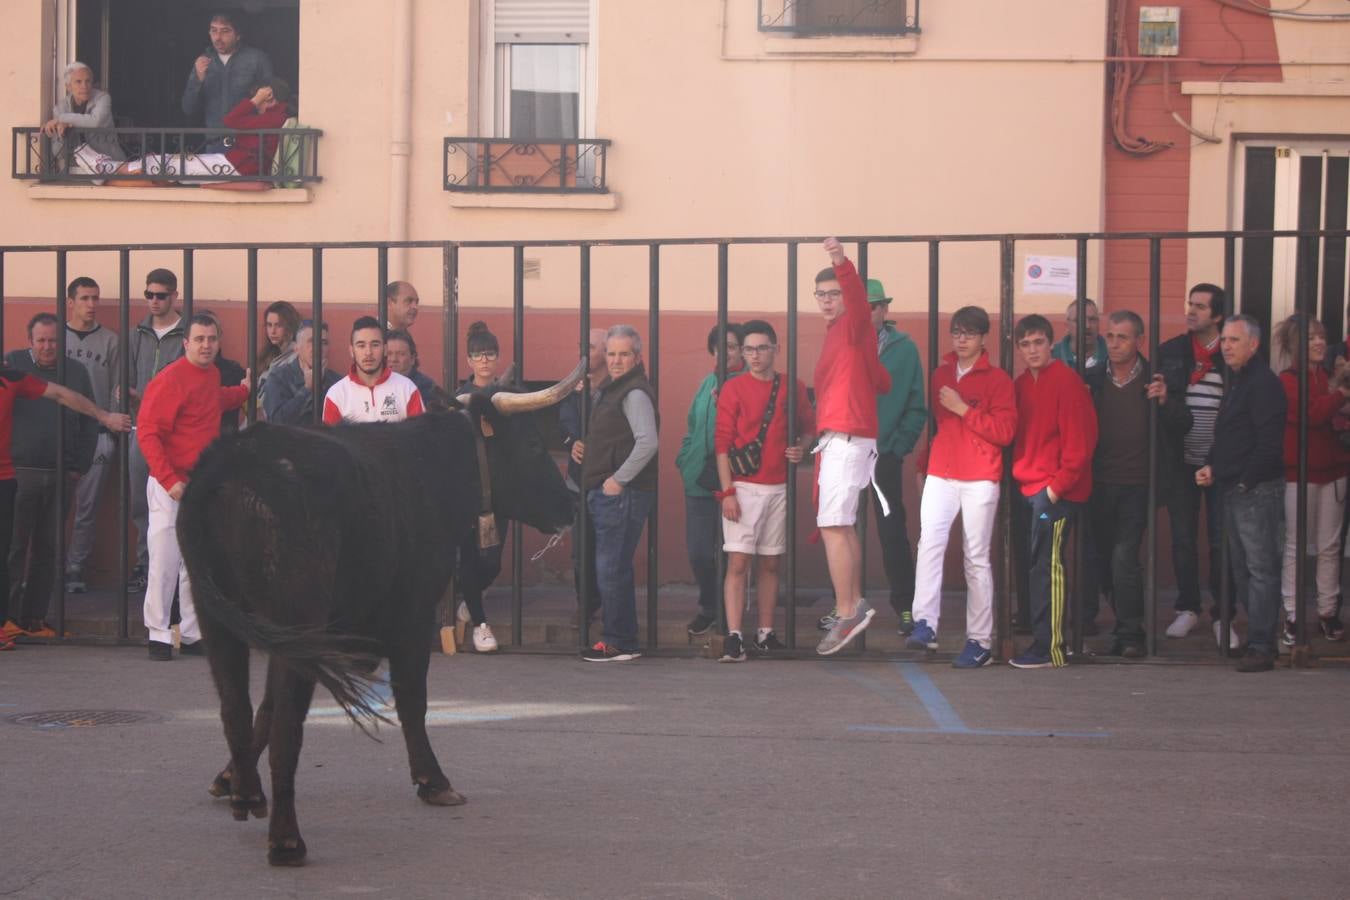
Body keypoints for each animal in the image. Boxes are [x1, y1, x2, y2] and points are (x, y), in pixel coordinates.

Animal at [178, 377, 575, 863]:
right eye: (535, 444)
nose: (570, 505)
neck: (433, 468)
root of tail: (231, 465)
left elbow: (263, 710)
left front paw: (229, 778)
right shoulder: (413, 618)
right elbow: (412, 699)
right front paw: (433, 780)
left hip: (218, 620)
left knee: (235, 707)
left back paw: (249, 795)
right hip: (296, 618)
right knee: (288, 723)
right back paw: (287, 840)